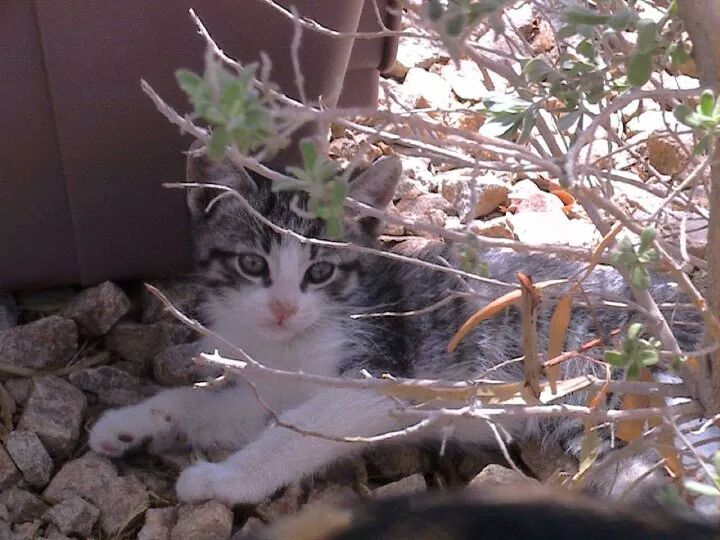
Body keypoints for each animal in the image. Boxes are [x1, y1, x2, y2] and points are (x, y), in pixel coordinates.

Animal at [89, 144, 702, 506]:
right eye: (252, 265)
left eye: (320, 270)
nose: (282, 308)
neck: (289, 342)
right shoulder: (274, 384)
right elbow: (211, 405)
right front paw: (132, 423)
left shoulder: (375, 379)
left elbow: (290, 436)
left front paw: (222, 481)